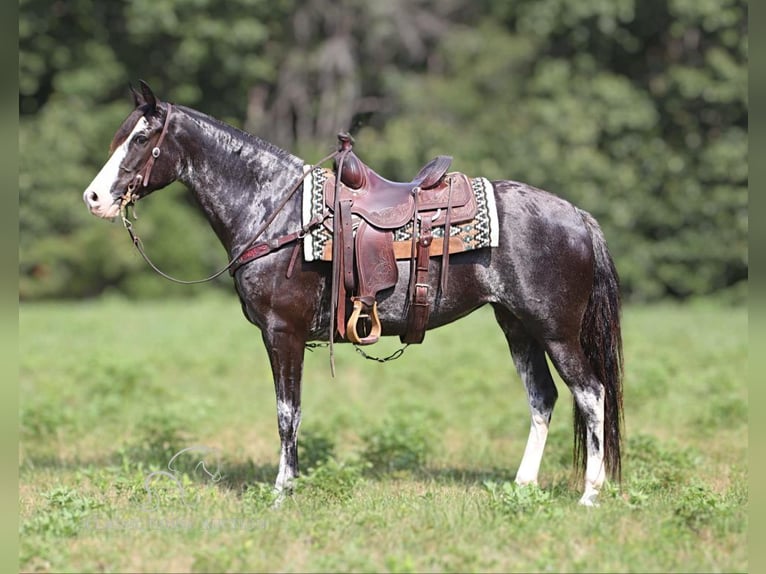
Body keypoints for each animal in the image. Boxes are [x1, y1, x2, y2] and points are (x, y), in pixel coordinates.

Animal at [84, 82, 624, 508]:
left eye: (140, 138)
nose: (93, 198)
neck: (277, 214)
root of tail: (577, 215)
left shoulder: (283, 333)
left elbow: (287, 413)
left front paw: (282, 492)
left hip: (555, 330)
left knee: (591, 394)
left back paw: (590, 494)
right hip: (517, 326)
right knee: (543, 397)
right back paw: (522, 486)